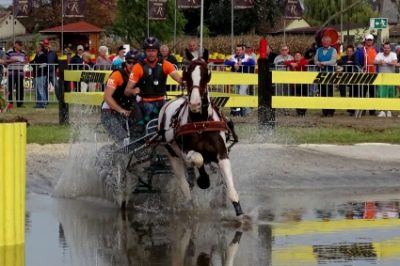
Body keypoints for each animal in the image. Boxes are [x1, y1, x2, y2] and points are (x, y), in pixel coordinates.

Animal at [157, 58, 244, 216]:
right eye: (188, 75)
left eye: (206, 75)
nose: (195, 103)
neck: (201, 123)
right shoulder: (187, 152)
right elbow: (199, 159)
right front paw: (204, 181)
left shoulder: (222, 152)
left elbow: (227, 179)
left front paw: (237, 207)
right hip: (173, 155)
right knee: (184, 183)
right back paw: (189, 203)